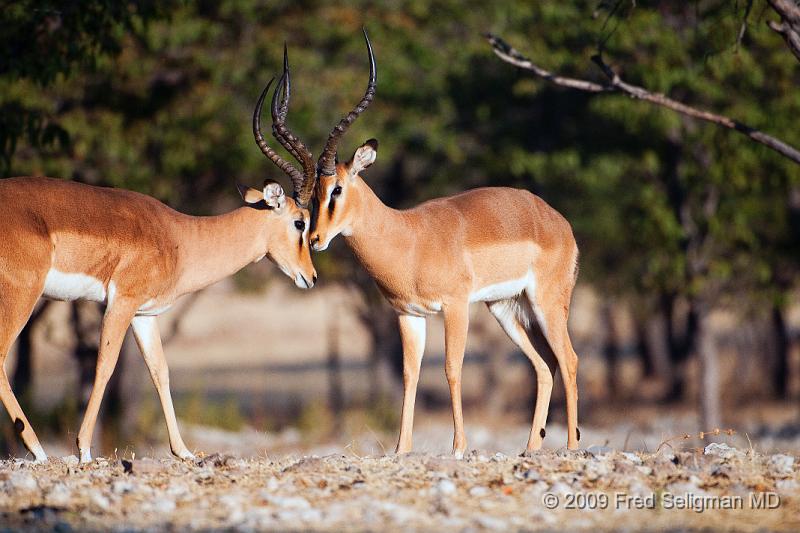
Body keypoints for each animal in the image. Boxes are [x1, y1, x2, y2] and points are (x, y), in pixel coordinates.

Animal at [0, 61, 318, 462]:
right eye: (300, 222)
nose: (311, 276)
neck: (180, 238)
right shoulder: (121, 303)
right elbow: (104, 367)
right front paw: (84, 450)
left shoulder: (144, 314)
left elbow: (160, 371)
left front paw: (184, 452)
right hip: (22, 295)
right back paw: (40, 450)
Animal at [308, 34, 580, 458]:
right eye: (310, 195)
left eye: (336, 188)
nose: (315, 239)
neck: (409, 237)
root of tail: (558, 222)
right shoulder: (408, 314)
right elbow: (409, 374)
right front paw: (401, 449)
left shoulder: (455, 307)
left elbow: (452, 368)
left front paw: (458, 448)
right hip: (505, 308)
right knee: (543, 366)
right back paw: (530, 448)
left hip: (546, 304)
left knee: (568, 360)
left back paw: (570, 446)